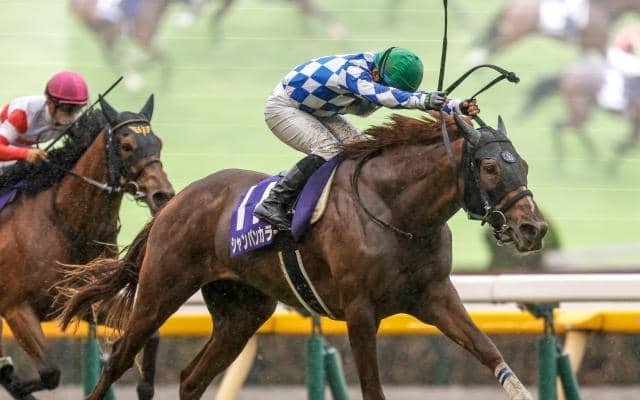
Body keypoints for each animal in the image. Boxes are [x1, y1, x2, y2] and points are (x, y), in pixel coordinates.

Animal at [0, 96, 174, 399]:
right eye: (126, 146)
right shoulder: (15, 308)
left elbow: (150, 334)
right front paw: (13, 379)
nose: (163, 194)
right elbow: (51, 373)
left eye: (158, 142)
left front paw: (144, 387)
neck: (68, 225)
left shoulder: (85, 300)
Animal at [57, 112, 548, 400]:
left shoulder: (434, 296)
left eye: (523, 165)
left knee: (192, 378)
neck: (396, 210)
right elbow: (371, 388)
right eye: (489, 167)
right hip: (162, 288)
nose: (534, 228)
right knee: (120, 357)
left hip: (243, 311)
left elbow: (489, 352)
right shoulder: (360, 310)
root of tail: (175, 201)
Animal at [469, 0, 640, 65]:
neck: (603, 7)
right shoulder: (599, 44)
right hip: (513, 35)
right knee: (494, 47)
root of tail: (510, 5)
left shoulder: (585, 46)